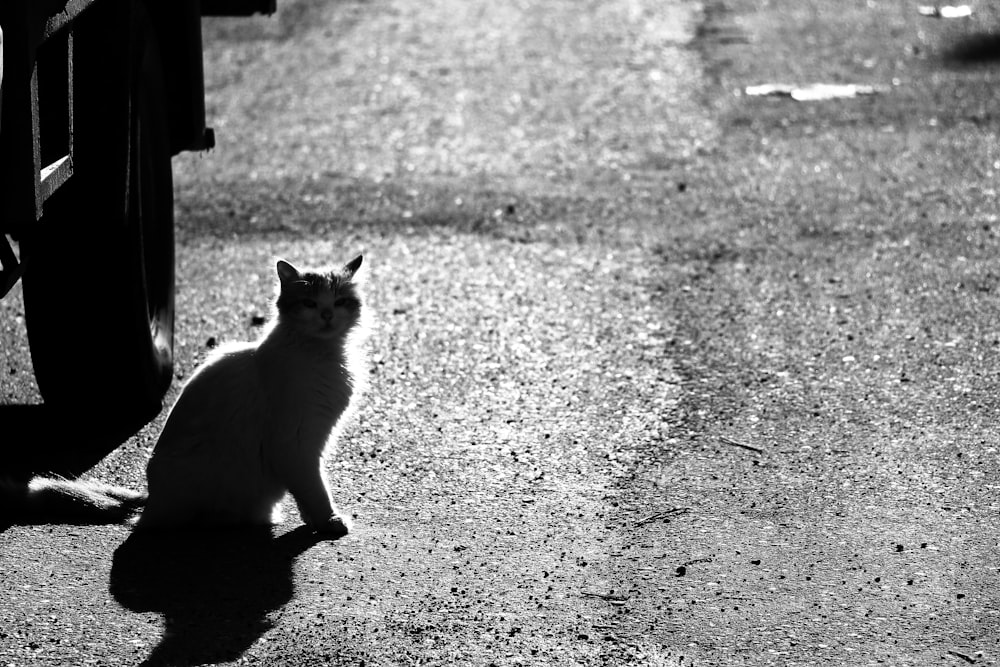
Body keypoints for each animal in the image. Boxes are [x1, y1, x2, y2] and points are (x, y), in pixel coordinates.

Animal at [1, 250, 370, 536]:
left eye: (340, 302)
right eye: (309, 303)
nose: (327, 316)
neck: (322, 354)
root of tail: (149, 499)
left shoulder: (312, 442)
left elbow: (311, 491)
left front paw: (316, 522)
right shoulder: (296, 444)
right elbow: (314, 489)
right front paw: (328, 522)